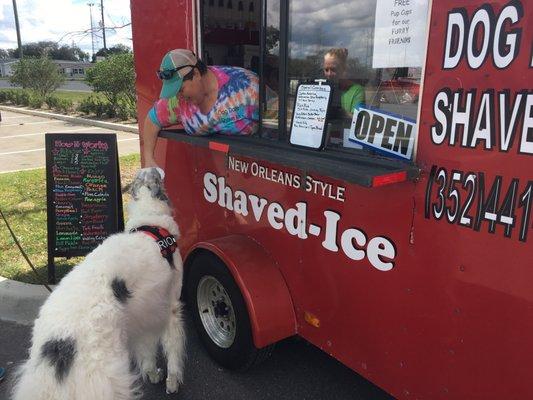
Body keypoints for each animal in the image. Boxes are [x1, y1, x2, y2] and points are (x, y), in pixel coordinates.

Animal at [11, 168, 185, 400]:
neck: (150, 221)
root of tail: (56, 346)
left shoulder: (145, 310)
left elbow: (146, 348)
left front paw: (152, 372)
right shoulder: (171, 304)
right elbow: (172, 346)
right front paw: (172, 381)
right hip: (107, 379)